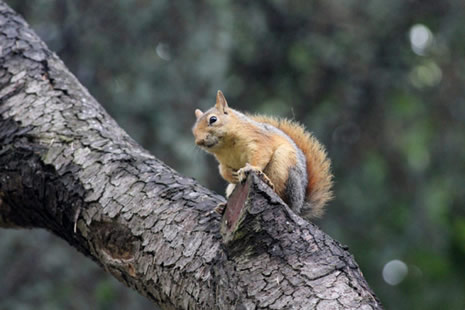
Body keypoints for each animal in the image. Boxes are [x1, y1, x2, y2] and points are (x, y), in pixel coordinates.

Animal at [192, 91, 334, 219]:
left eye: (213, 119)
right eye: (194, 131)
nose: (199, 142)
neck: (226, 146)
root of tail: (298, 206)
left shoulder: (259, 140)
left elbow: (261, 154)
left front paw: (251, 168)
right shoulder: (223, 162)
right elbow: (222, 170)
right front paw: (230, 175)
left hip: (283, 164)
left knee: (282, 195)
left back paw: (268, 182)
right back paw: (222, 208)